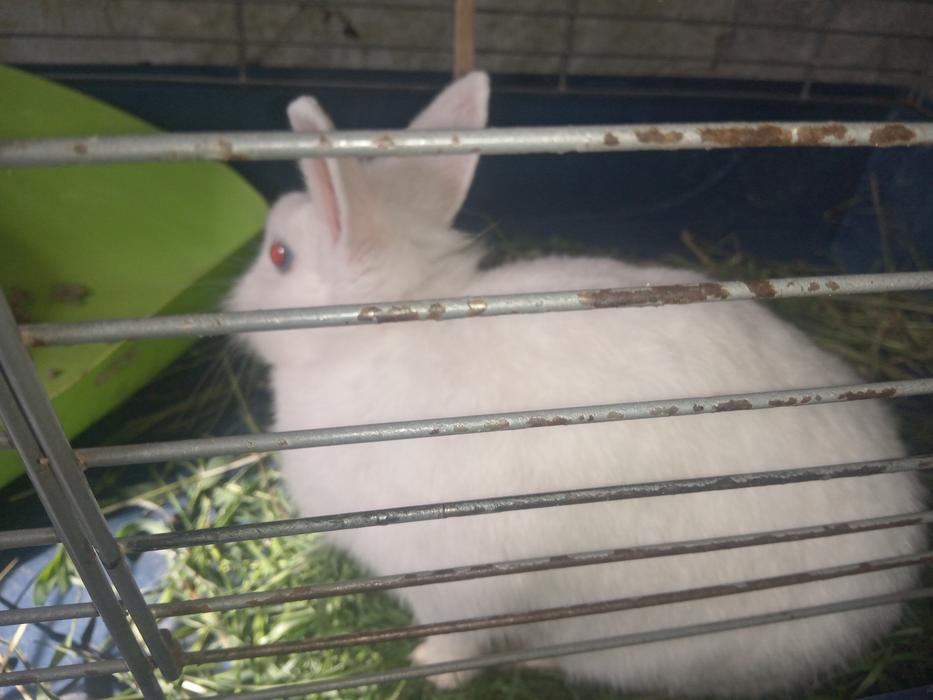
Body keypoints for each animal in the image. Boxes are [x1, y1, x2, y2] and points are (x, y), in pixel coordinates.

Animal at [227, 71, 926, 698]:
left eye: (280, 256)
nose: (231, 308)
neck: (369, 344)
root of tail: (887, 589)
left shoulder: (451, 579)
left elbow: (457, 638)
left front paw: (433, 669)